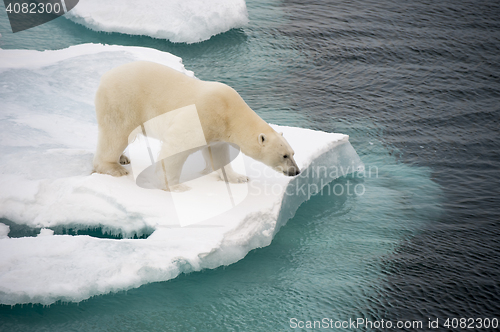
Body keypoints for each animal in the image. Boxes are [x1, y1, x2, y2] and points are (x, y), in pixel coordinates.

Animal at [92, 60, 298, 188]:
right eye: (284, 155)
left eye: (293, 153)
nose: (295, 171)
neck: (230, 111)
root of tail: (105, 76)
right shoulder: (203, 115)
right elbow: (176, 147)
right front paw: (172, 185)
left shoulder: (218, 133)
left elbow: (219, 155)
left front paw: (238, 178)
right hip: (123, 101)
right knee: (116, 133)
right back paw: (114, 168)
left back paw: (123, 158)